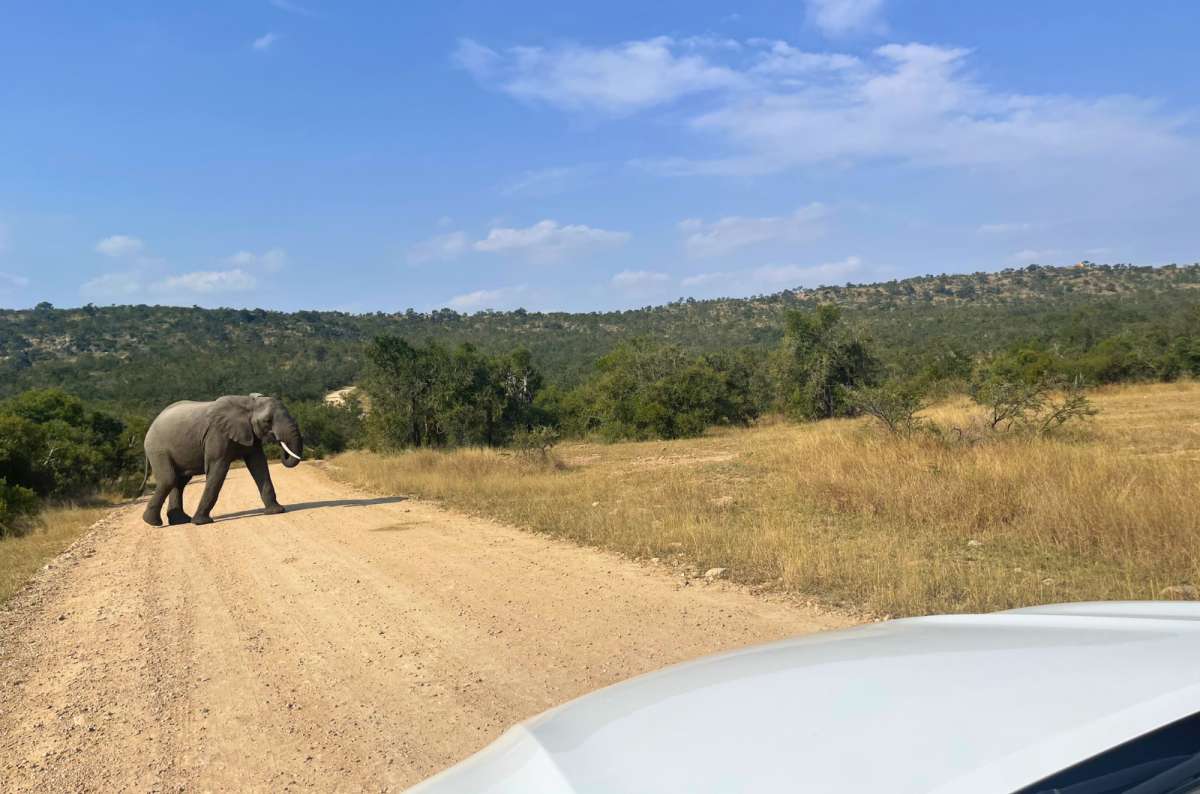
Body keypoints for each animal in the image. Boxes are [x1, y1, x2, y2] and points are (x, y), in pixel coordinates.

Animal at [140, 393, 304, 526]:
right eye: (267, 421)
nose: (279, 442)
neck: (248, 403)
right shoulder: (216, 434)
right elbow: (217, 469)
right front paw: (201, 522)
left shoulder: (250, 434)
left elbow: (259, 465)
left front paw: (276, 511)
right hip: (157, 449)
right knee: (169, 479)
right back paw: (153, 522)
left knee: (179, 482)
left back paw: (179, 521)